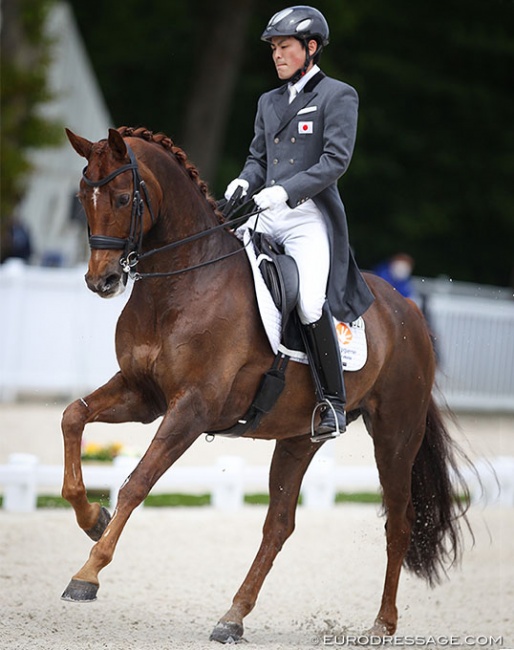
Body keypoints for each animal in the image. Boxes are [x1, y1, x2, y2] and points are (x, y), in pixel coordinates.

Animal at [59, 125, 468, 636]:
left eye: (120, 196)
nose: (103, 281)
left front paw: (87, 573)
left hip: (396, 435)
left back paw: (381, 626)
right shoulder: (143, 395)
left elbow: (137, 482)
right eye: (82, 198)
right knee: (279, 525)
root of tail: (409, 308)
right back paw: (233, 617)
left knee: (399, 521)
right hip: (299, 438)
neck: (180, 285)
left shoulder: (192, 409)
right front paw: (92, 517)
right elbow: (73, 416)